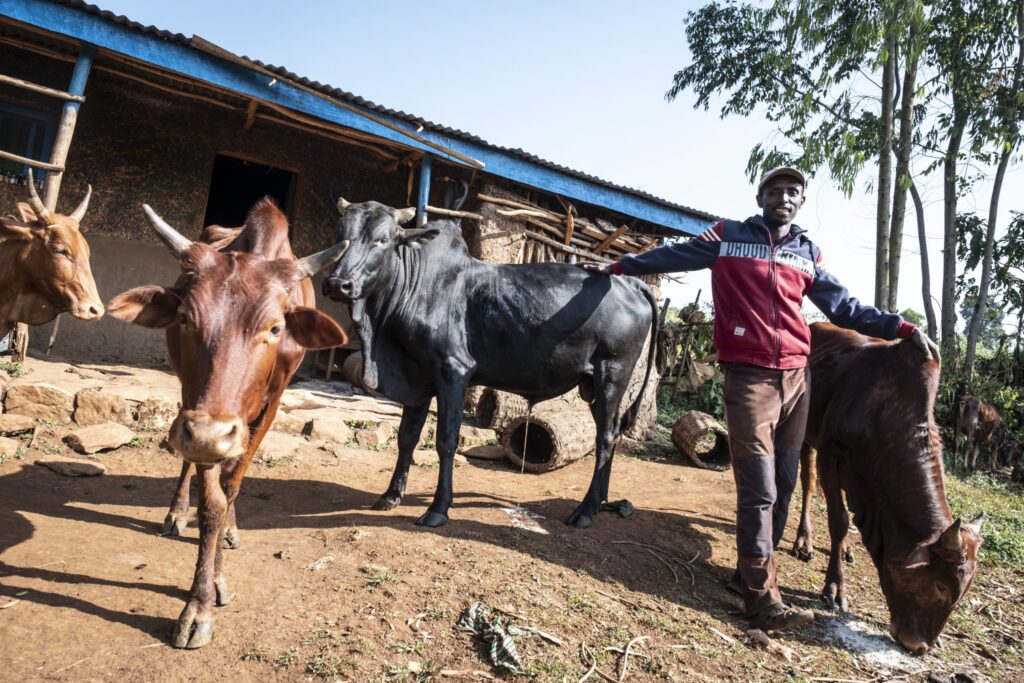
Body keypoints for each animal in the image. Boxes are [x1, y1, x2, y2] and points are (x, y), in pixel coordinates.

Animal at [790, 325, 983, 655]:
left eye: (963, 594)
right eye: (941, 585)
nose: (920, 645)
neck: (883, 414)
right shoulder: (831, 454)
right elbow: (839, 521)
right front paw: (834, 588)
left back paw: (846, 551)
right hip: (806, 433)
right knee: (807, 482)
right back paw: (804, 540)